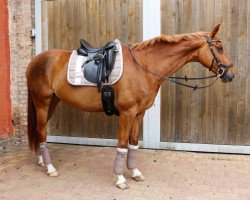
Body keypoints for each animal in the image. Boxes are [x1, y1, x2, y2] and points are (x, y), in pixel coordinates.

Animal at [27, 24, 234, 189]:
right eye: (219, 47)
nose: (230, 74)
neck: (143, 66)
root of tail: (34, 61)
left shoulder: (139, 113)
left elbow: (133, 143)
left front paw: (135, 172)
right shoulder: (127, 113)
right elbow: (122, 144)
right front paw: (120, 178)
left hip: (52, 103)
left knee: (39, 130)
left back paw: (41, 161)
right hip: (42, 102)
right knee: (42, 131)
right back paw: (51, 168)